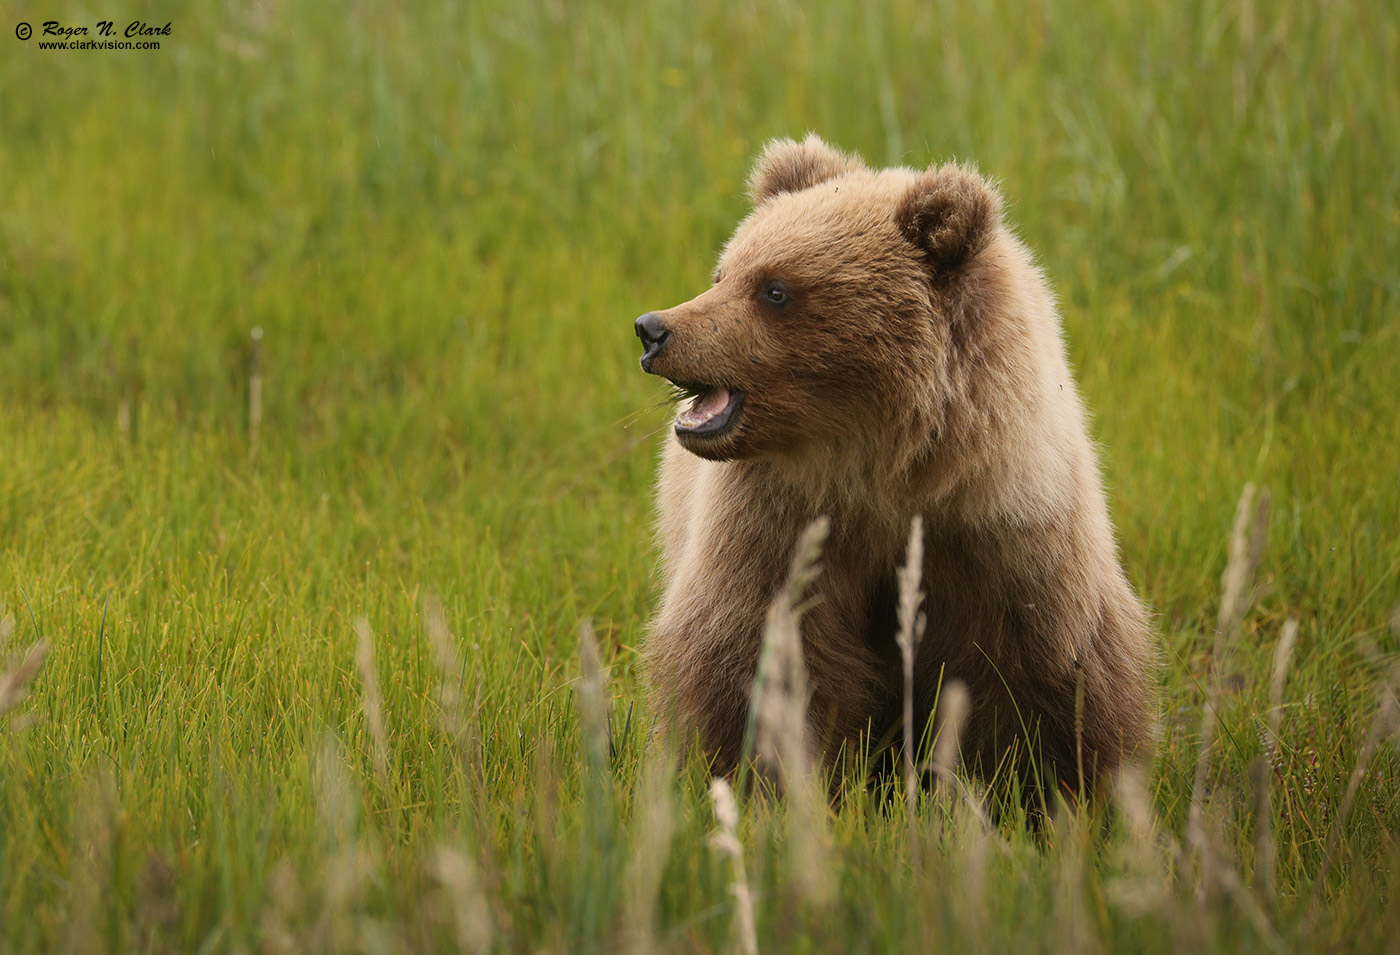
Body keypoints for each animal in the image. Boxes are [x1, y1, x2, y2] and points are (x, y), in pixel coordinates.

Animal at [632, 130, 1148, 789]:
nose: (654, 329)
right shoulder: (779, 522)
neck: (887, 466)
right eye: (723, 272)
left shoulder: (1001, 526)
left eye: (774, 288)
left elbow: (1045, 675)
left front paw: (1052, 785)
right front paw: (765, 776)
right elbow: (757, 652)